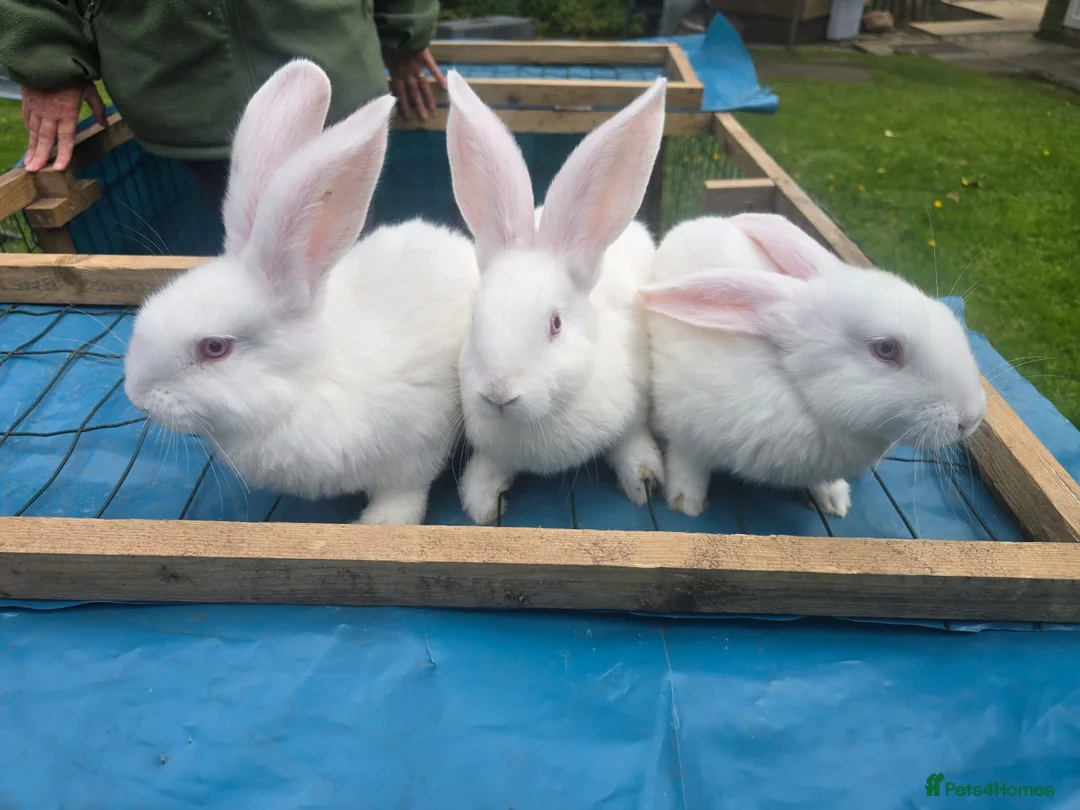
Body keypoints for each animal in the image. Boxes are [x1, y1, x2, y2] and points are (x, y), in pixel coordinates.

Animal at [122, 59, 479, 526]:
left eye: (215, 348)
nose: (137, 398)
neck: (307, 382)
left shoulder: (413, 451)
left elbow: (402, 494)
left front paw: (381, 523)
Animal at [443, 70, 668, 525]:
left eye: (556, 324)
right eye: (474, 319)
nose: (498, 393)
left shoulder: (634, 409)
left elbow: (631, 441)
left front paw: (643, 481)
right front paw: (483, 503)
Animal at [638, 212, 987, 518]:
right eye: (886, 349)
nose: (971, 418)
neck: (799, 393)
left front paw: (835, 501)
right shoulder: (686, 430)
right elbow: (688, 465)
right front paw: (686, 502)